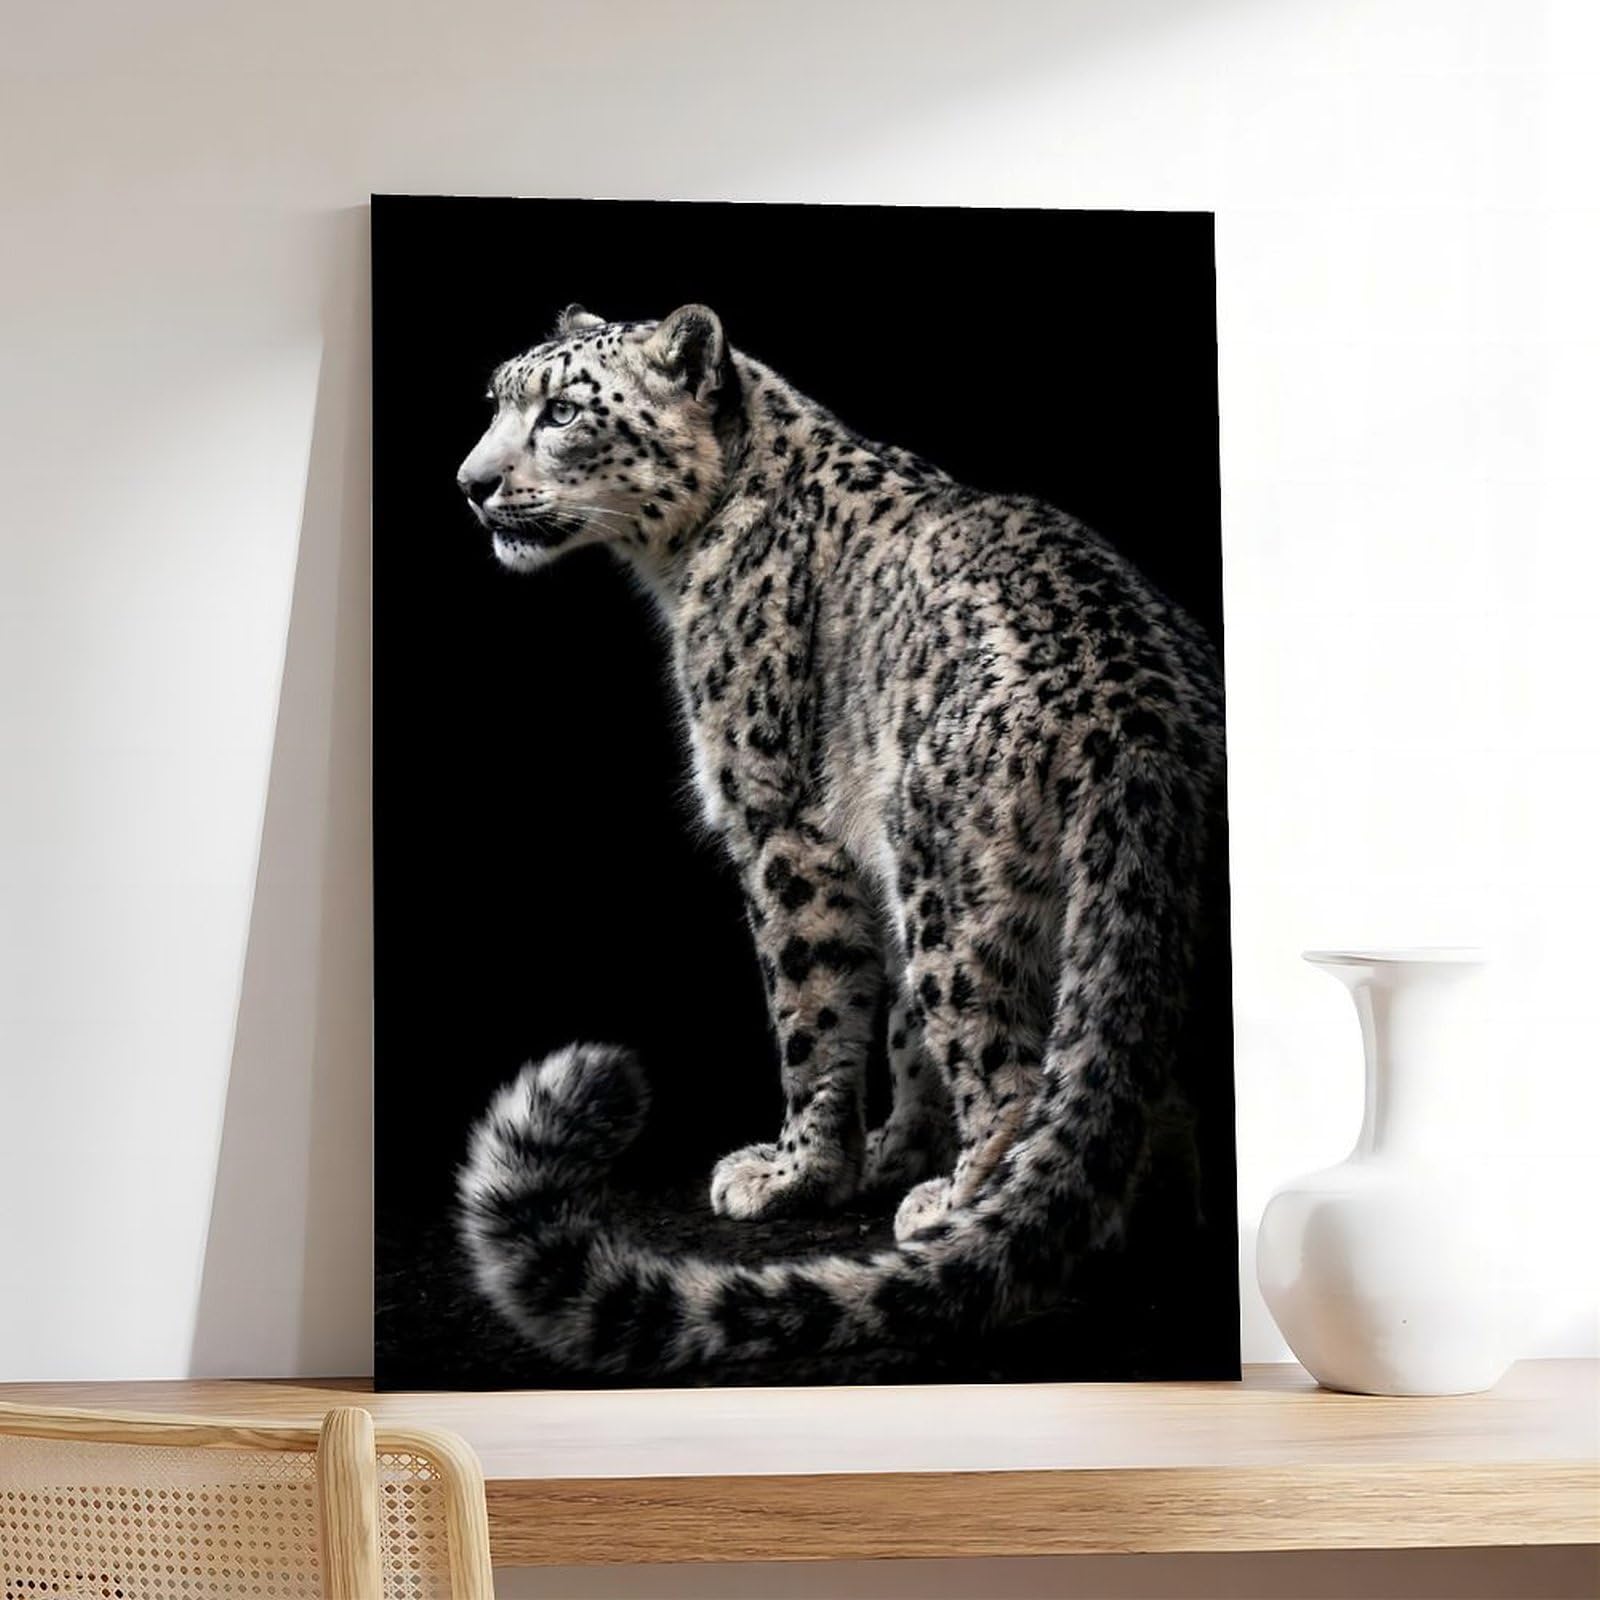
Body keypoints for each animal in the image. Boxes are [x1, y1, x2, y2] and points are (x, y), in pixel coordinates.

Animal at [452, 303, 1228, 1380]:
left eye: (562, 410)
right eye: (496, 400)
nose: (471, 483)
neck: (678, 568)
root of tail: (1143, 728)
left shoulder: (779, 823)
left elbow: (811, 1016)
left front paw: (797, 1173)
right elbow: (897, 1029)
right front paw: (895, 1147)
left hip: (954, 885)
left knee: (1012, 1074)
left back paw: (959, 1209)